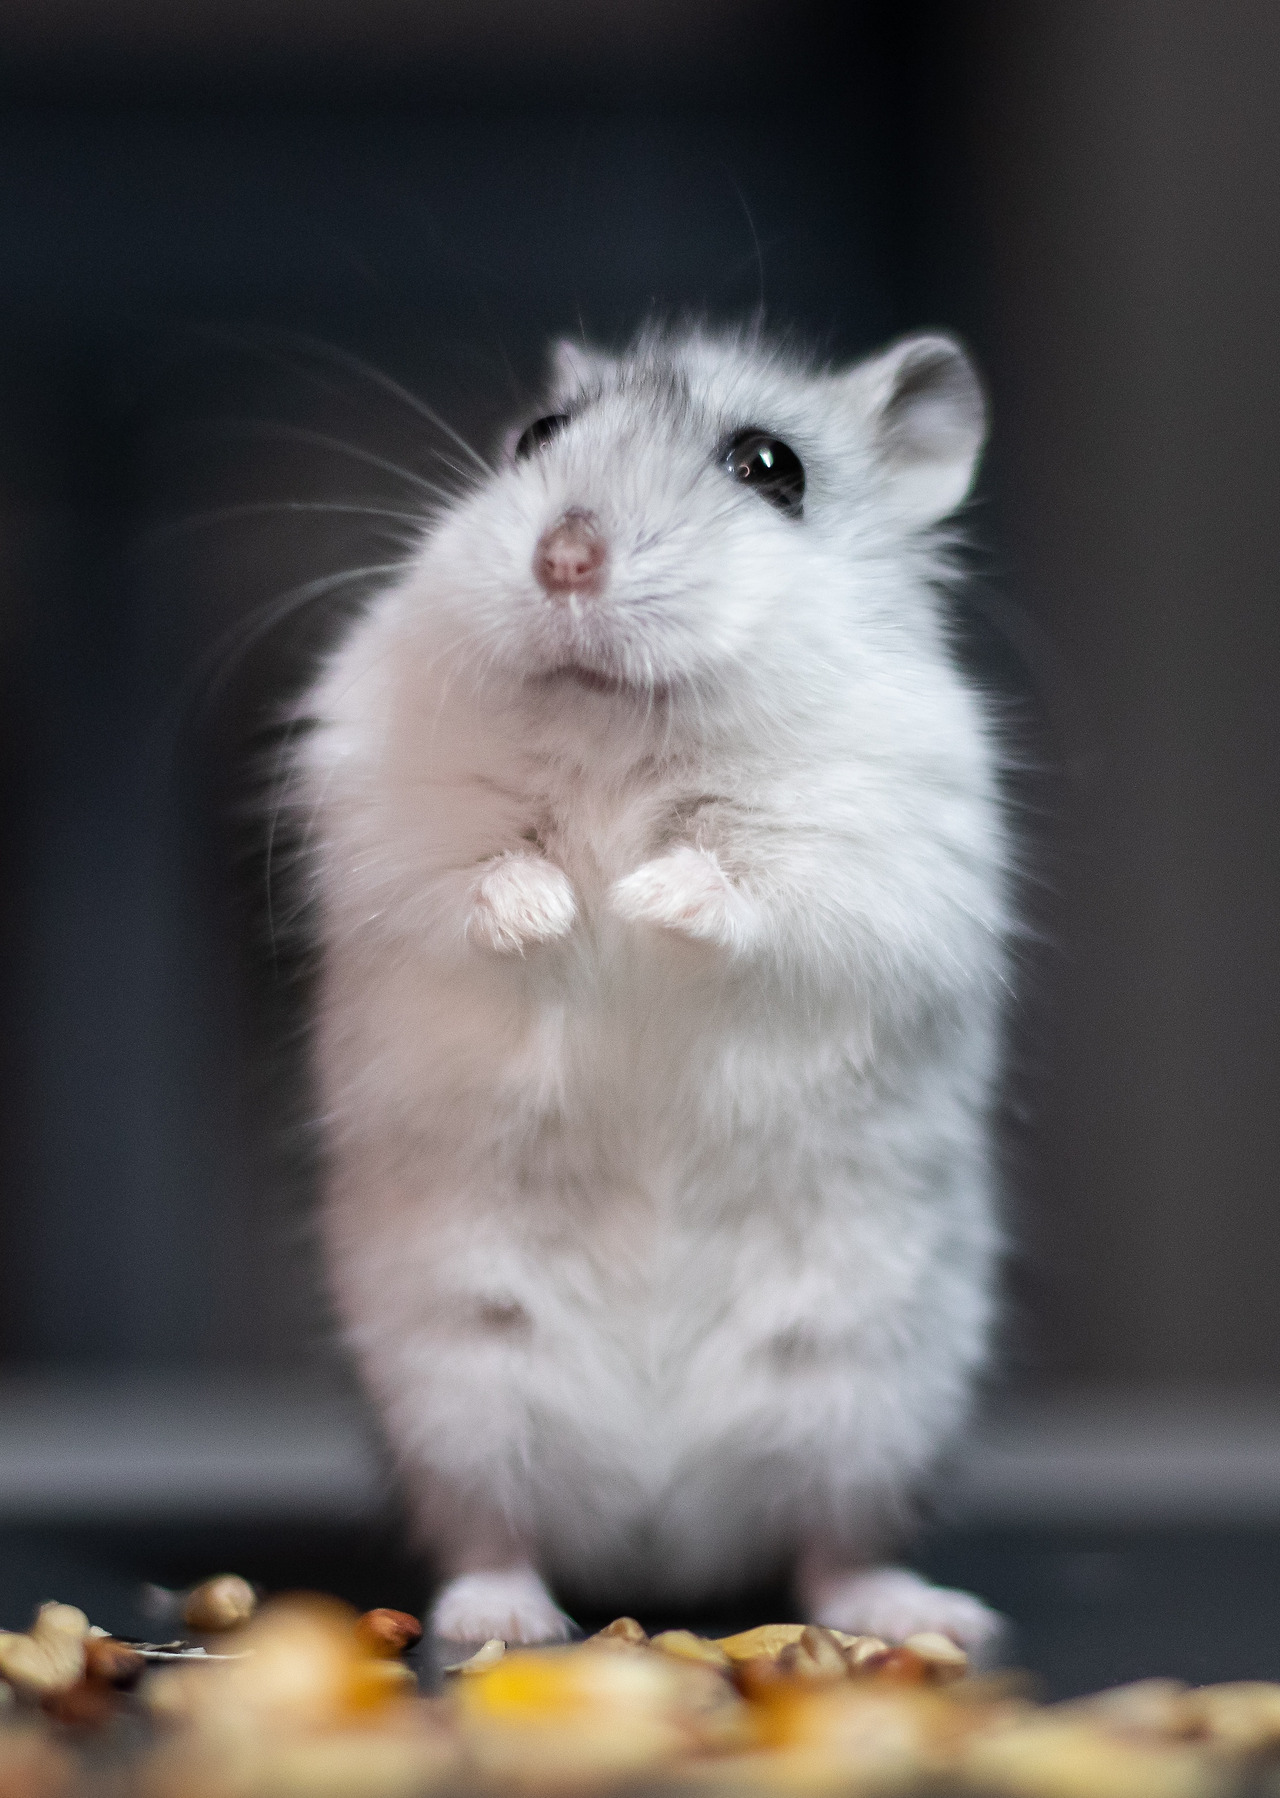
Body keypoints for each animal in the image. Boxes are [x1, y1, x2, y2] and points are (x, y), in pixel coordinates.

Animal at [295, 324, 1009, 1652]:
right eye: (536, 437)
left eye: (770, 467)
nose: (563, 556)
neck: (619, 727)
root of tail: (661, 1538)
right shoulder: (394, 814)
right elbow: (475, 874)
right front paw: (557, 907)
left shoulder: (872, 852)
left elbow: (745, 883)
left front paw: (635, 897)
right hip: (459, 1377)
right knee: (494, 1528)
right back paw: (504, 1620)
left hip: (871, 1387)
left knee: (829, 1544)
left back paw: (920, 1616)